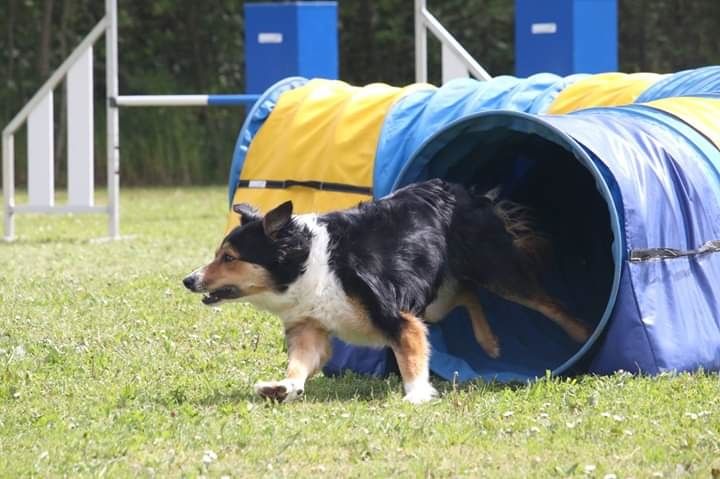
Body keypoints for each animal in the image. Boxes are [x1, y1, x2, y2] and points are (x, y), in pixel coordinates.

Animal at [184, 180, 592, 404]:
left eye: (229, 257)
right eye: (218, 255)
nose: (188, 280)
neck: (311, 263)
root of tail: (467, 192)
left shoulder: (398, 316)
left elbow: (411, 357)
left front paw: (417, 395)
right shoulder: (309, 328)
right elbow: (298, 364)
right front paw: (282, 387)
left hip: (498, 273)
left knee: (547, 303)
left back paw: (584, 333)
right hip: (437, 300)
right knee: (467, 294)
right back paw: (489, 343)